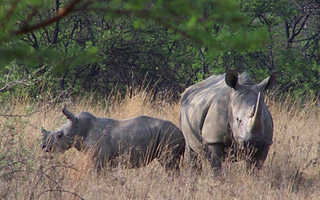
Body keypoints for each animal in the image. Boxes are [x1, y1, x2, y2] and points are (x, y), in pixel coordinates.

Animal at [41, 107, 185, 171]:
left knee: (169, 164)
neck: (78, 126)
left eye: (59, 135)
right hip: (168, 134)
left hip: (169, 135)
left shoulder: (100, 159)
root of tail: (181, 133)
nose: (44, 147)